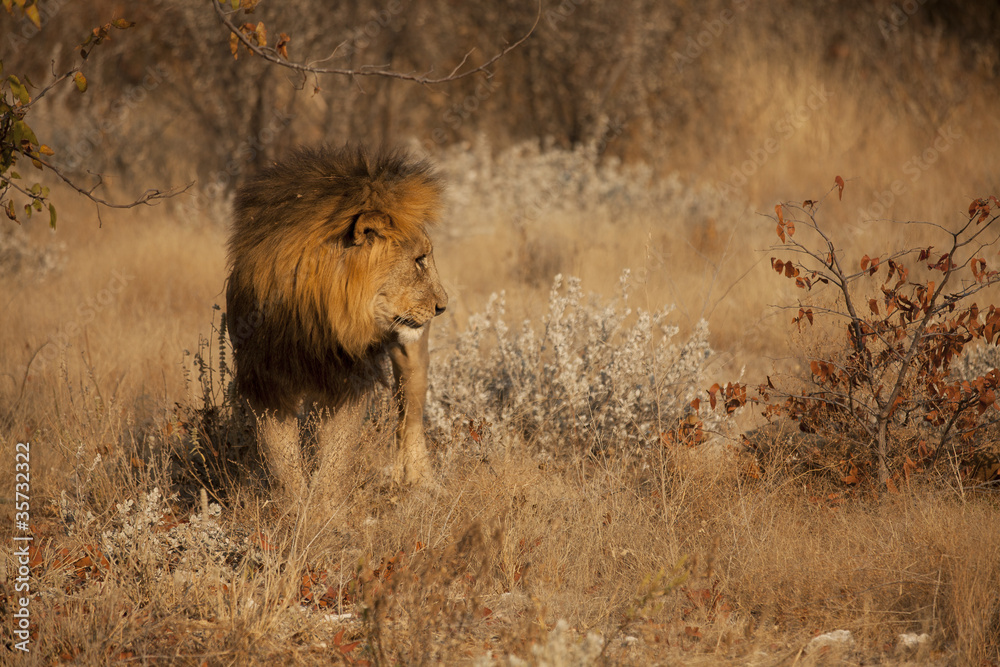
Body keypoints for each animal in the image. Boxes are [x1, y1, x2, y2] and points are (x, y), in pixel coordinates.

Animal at [227, 145, 450, 500]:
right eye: (419, 261)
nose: (443, 305)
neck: (312, 316)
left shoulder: (347, 381)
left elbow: (335, 456)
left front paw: (325, 506)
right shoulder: (264, 380)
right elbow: (281, 456)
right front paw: (295, 506)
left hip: (411, 354)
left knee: (410, 415)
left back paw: (419, 481)